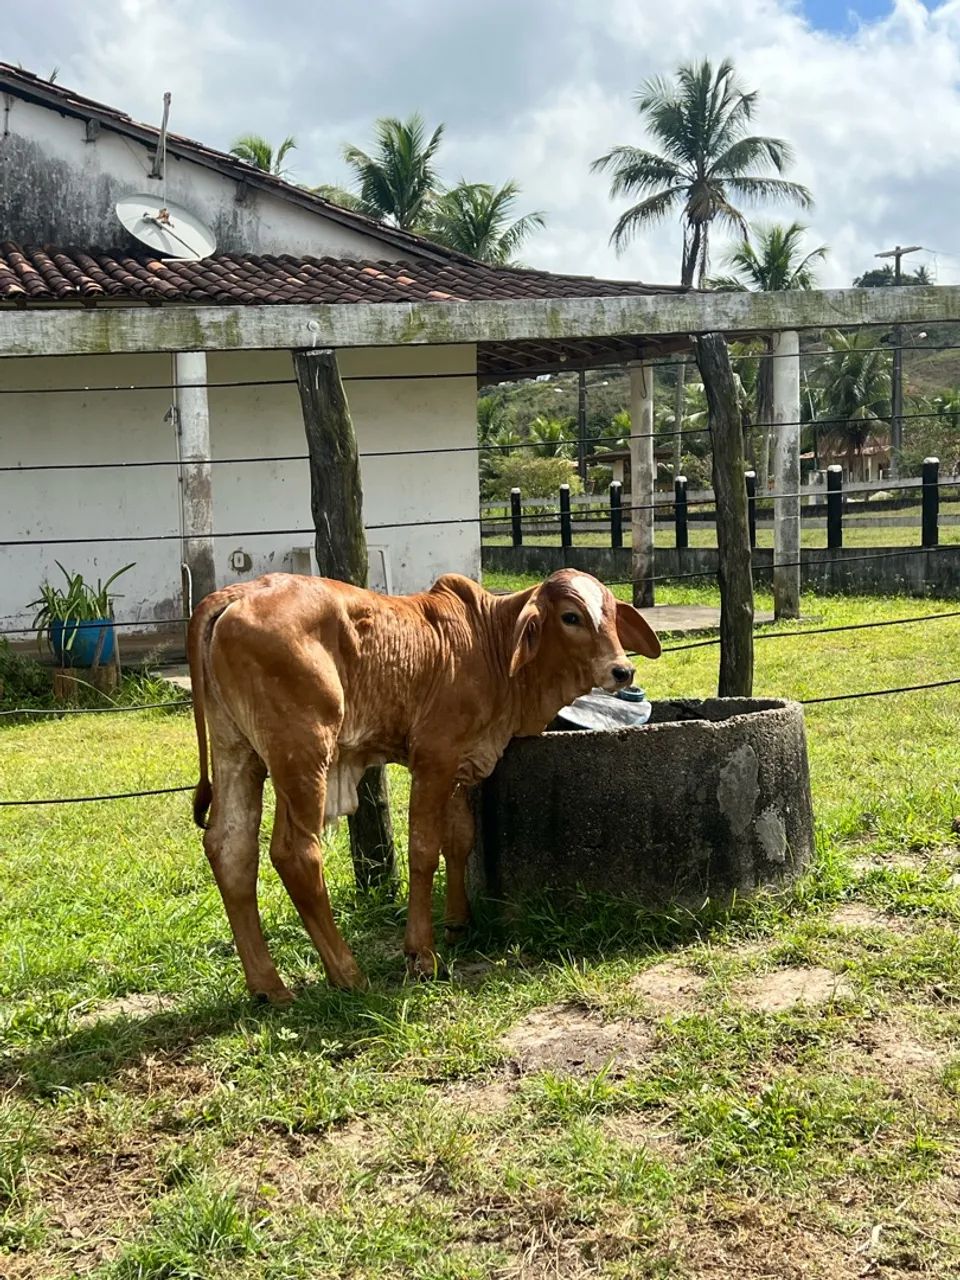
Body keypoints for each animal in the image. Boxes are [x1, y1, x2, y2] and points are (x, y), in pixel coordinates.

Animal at [187, 569, 660, 1001]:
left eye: (611, 615)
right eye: (570, 617)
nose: (622, 670)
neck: (490, 641)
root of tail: (239, 592)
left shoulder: (463, 765)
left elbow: (460, 840)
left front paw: (458, 923)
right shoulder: (433, 759)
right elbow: (423, 851)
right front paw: (423, 955)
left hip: (237, 751)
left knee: (231, 849)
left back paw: (269, 987)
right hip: (302, 756)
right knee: (295, 853)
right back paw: (347, 974)